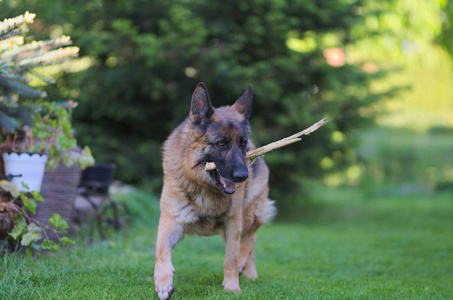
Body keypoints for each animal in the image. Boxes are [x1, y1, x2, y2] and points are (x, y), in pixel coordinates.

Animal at [153, 82, 276, 300]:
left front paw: (232, 288)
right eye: (221, 143)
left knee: (250, 240)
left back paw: (247, 271)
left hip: (246, 215)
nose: (243, 176)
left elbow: (230, 259)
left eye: (243, 143)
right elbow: (161, 250)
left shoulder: (232, 222)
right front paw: (163, 282)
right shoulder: (171, 220)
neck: (203, 186)